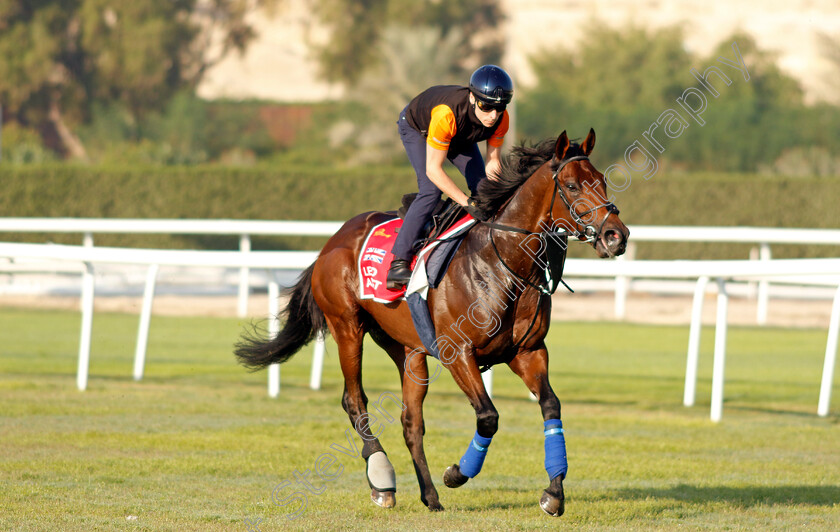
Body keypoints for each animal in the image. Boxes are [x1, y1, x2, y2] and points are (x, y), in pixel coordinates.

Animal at [233, 129, 628, 516]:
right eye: (572, 186)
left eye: (602, 181)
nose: (616, 235)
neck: (505, 264)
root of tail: (333, 241)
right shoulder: (459, 353)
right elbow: (488, 416)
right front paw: (457, 473)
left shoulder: (528, 352)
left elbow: (551, 406)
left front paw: (554, 493)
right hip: (347, 326)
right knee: (354, 400)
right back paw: (382, 480)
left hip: (407, 349)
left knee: (411, 420)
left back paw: (429, 496)